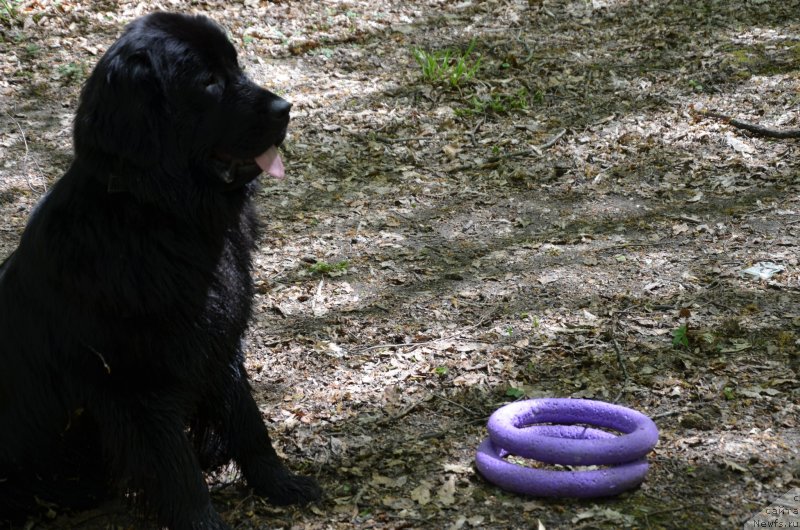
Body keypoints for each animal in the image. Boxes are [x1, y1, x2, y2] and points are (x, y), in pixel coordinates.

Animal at [0, 12, 318, 528]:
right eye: (209, 83)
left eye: (235, 66)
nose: (285, 107)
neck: (164, 218)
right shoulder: (139, 386)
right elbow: (177, 470)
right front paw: (204, 522)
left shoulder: (218, 344)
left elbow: (249, 423)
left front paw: (282, 484)